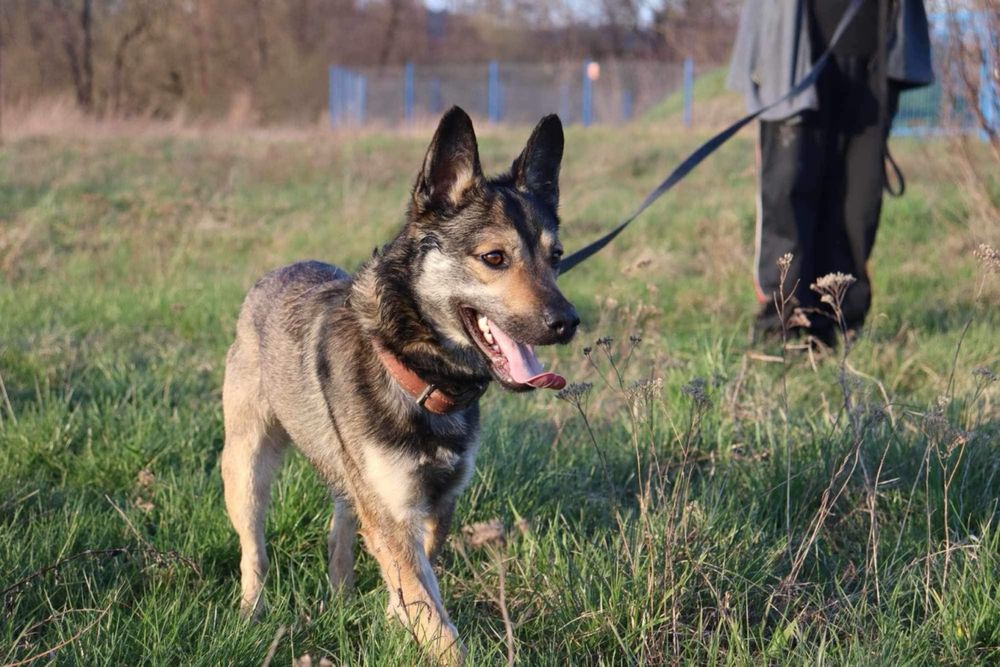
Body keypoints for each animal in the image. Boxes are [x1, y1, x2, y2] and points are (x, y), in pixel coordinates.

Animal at [219, 107, 580, 664]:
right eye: (494, 258)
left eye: (556, 255)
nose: (567, 323)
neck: (421, 376)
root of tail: (272, 276)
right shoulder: (393, 516)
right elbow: (435, 623)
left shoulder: (434, 508)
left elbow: (414, 590)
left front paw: (393, 620)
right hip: (246, 465)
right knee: (253, 549)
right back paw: (251, 611)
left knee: (340, 531)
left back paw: (342, 598)